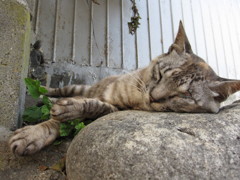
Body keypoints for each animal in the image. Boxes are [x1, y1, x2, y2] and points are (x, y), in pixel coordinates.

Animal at [9, 21, 240, 155]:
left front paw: (69, 110)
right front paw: (33, 133)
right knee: (55, 91)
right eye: (160, 74)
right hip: (76, 87)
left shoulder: (112, 110)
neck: (136, 99)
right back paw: (46, 95)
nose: (153, 97)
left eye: (184, 95)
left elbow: (93, 107)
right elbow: (56, 118)